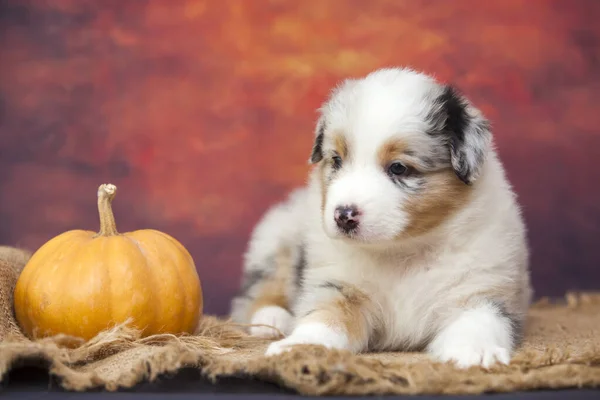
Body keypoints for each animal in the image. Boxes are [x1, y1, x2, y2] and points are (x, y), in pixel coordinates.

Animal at [232, 66, 532, 368]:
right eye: (337, 160)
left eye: (398, 168)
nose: (343, 215)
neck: (403, 252)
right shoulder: (340, 284)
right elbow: (325, 317)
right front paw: (302, 347)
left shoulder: (483, 288)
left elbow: (479, 321)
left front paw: (476, 353)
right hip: (279, 233)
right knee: (262, 285)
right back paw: (271, 318)